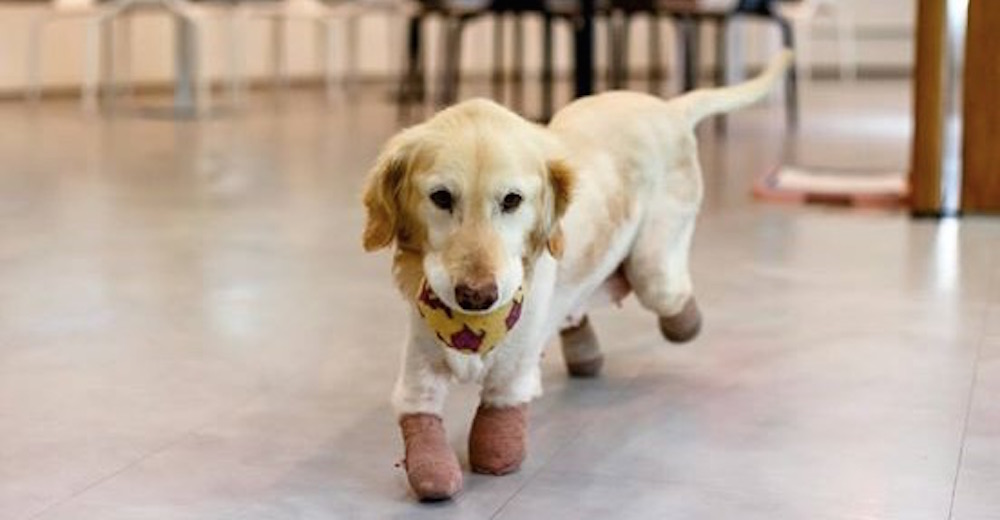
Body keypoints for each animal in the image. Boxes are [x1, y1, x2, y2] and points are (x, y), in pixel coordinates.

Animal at [364, 49, 792, 500]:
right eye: (441, 197)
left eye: (512, 200)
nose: (476, 296)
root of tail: (668, 107)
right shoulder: (420, 360)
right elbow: (419, 415)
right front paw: (432, 468)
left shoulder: (513, 368)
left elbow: (500, 419)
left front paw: (497, 455)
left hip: (654, 263)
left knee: (667, 295)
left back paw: (682, 323)